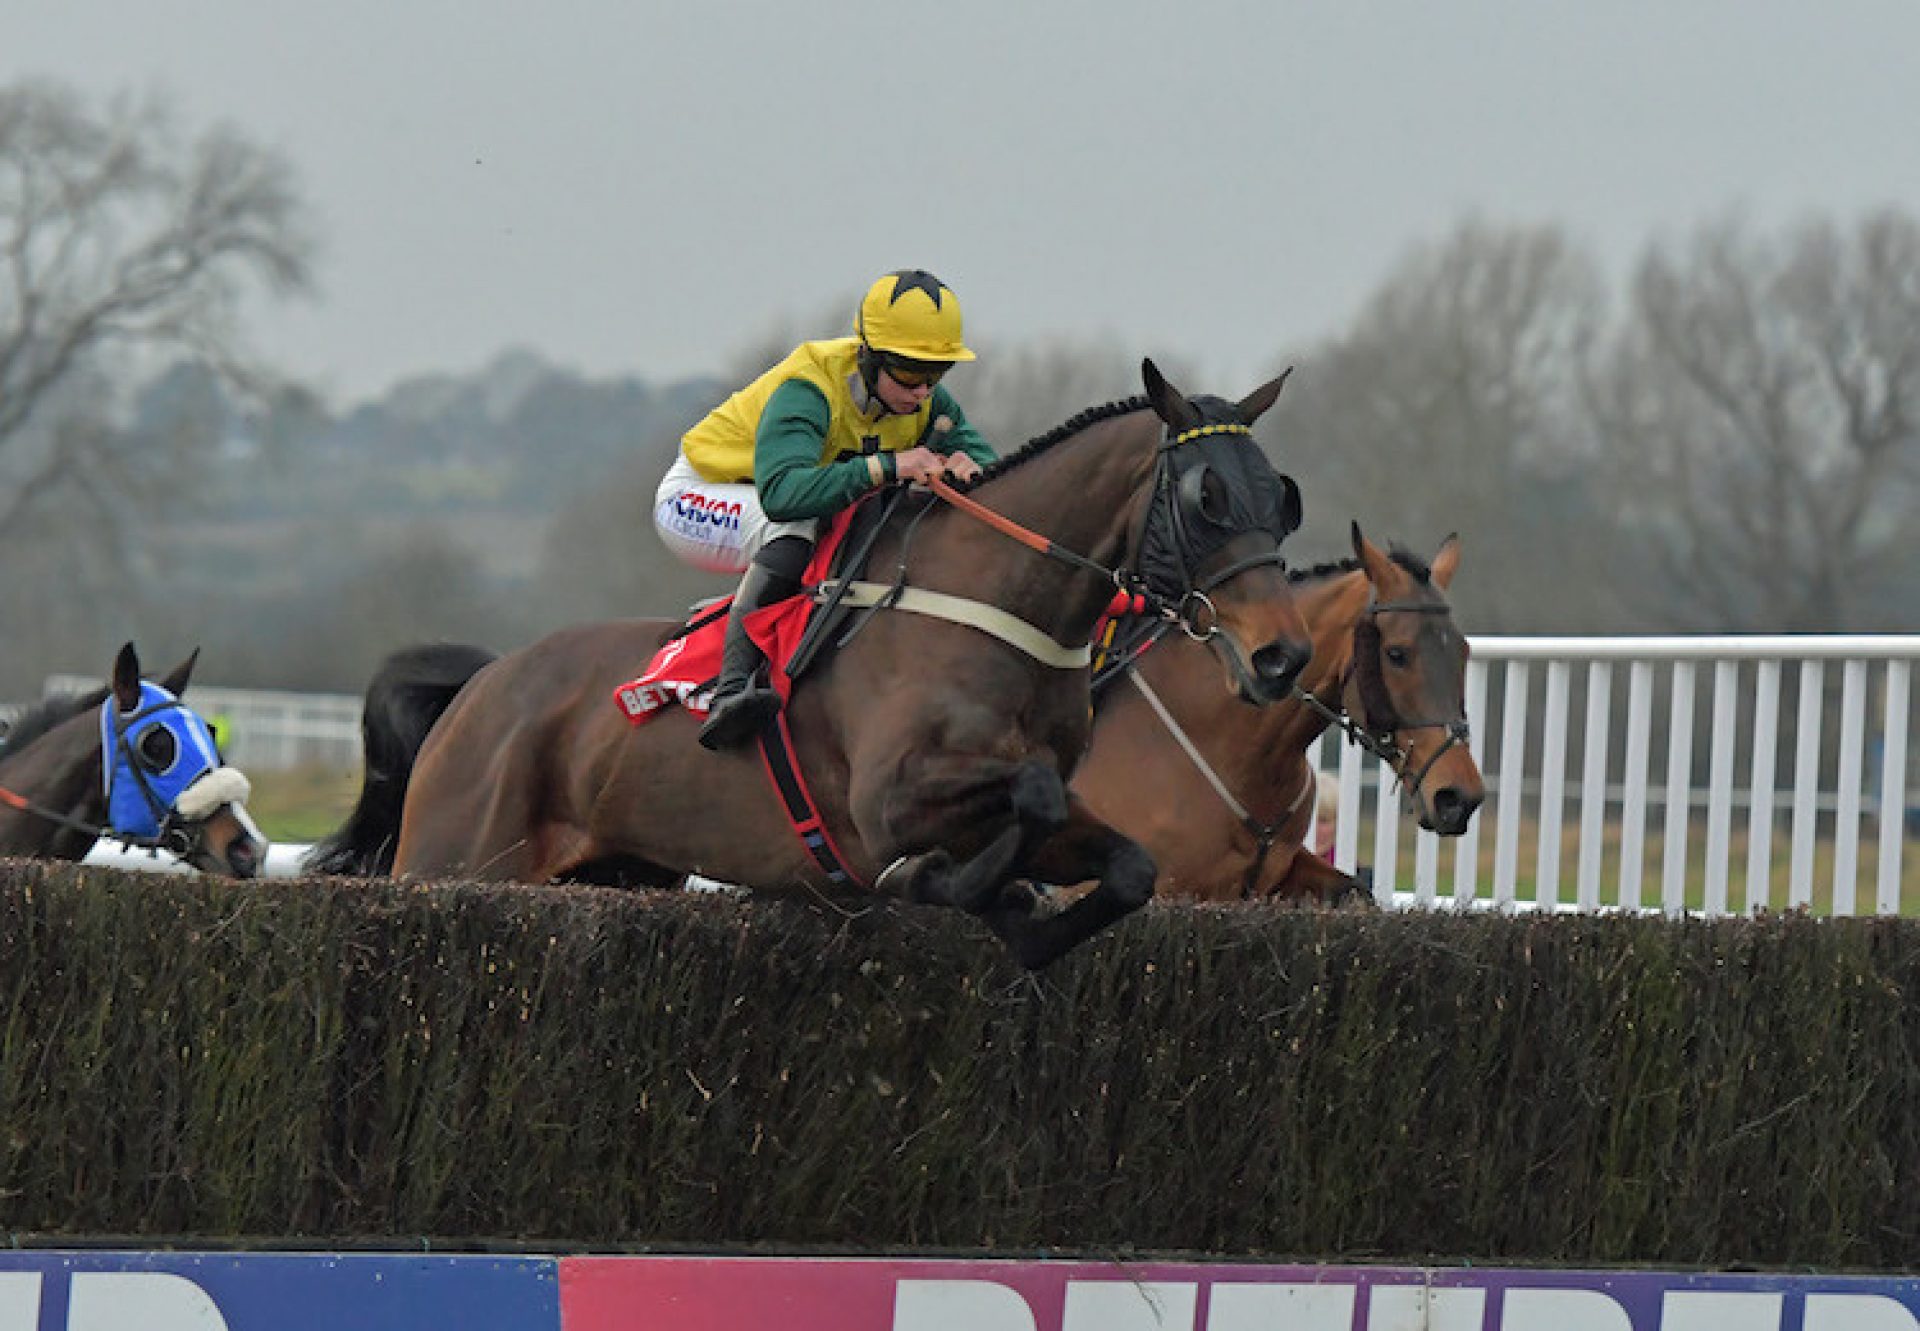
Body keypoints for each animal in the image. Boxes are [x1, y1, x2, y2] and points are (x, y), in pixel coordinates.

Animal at [314, 363, 1313, 964]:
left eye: (1281, 497)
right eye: (1207, 497)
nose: (1282, 653)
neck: (995, 613)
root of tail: (483, 686)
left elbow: (1125, 865)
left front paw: (1016, 911)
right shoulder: (887, 797)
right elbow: (1019, 799)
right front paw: (945, 881)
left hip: (617, 870)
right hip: (458, 857)